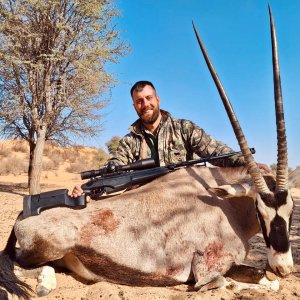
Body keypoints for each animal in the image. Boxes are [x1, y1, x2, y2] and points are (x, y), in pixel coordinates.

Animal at [0, 5, 292, 298]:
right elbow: (236, 281)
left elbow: (268, 280)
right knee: (19, 266)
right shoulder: (205, 271)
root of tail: (23, 216)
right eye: (260, 210)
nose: (284, 267)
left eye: (290, 211)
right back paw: (43, 285)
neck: (225, 205)